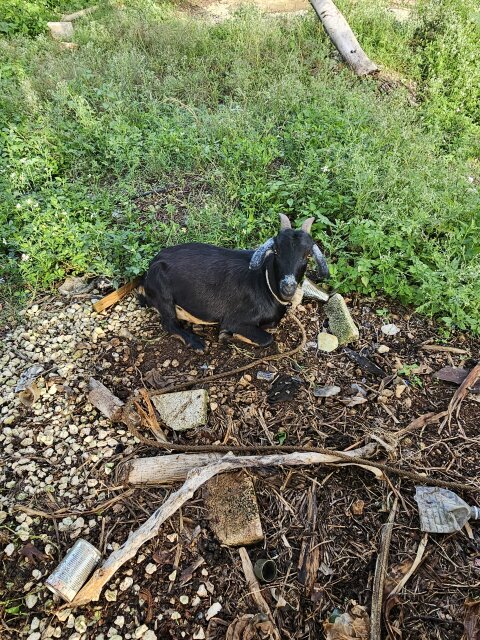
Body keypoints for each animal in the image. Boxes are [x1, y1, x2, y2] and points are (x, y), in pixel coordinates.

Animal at [139, 214, 329, 351]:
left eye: (307, 255)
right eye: (276, 251)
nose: (288, 286)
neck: (265, 283)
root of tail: (153, 263)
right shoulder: (234, 320)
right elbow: (267, 338)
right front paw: (227, 336)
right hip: (162, 292)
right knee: (169, 324)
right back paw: (196, 342)